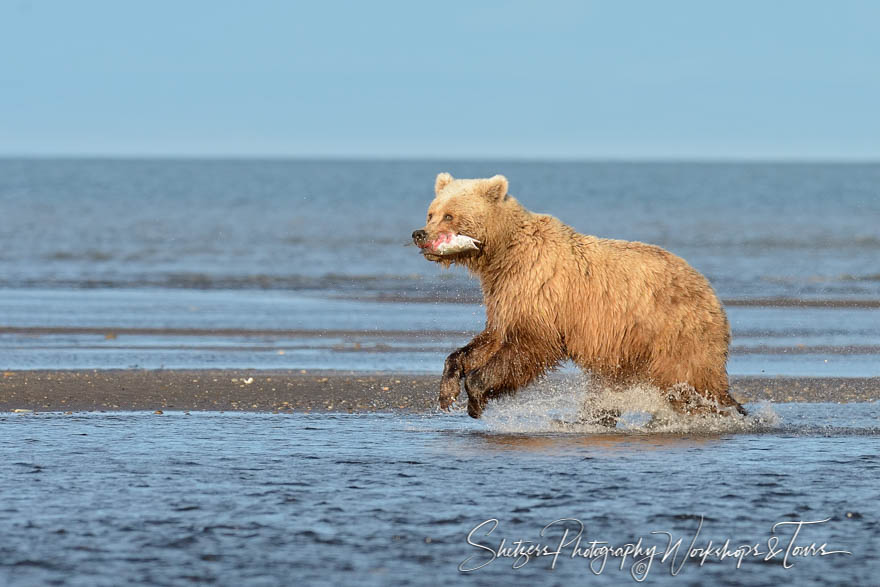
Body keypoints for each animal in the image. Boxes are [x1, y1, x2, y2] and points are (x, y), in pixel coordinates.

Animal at [412, 171, 744, 422]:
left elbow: (528, 347)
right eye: (431, 213)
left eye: (450, 215)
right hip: (628, 346)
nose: (420, 234)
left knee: (690, 381)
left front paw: (475, 397)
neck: (502, 253)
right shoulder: (505, 294)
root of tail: (712, 294)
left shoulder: (540, 288)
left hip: (674, 331)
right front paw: (448, 391)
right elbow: (489, 340)